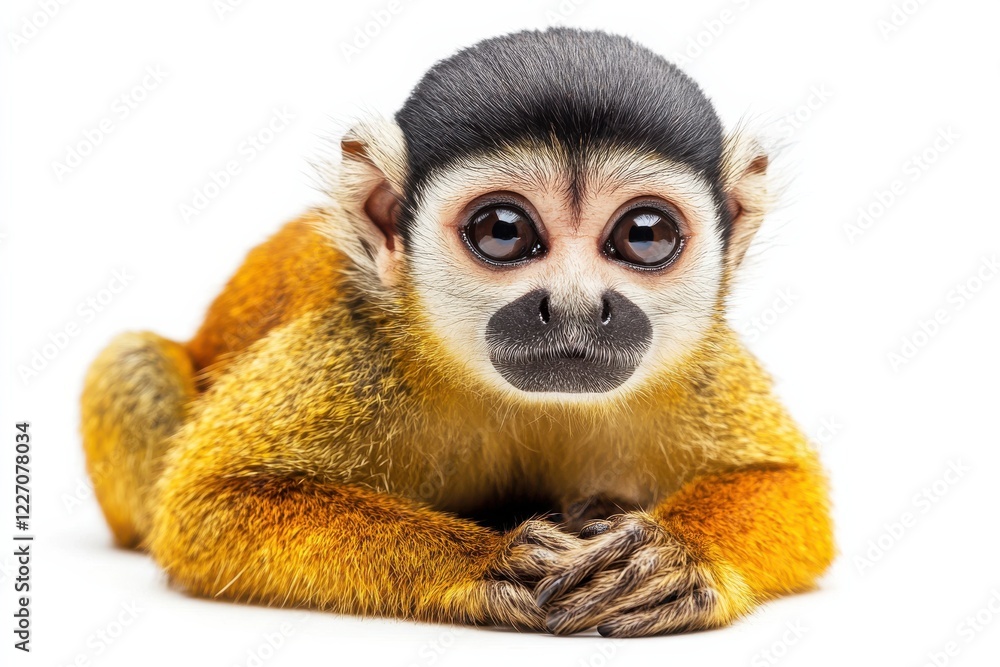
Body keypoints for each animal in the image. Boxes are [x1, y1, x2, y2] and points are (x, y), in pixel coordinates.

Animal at [80, 28, 834, 638]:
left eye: (644, 235)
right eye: (503, 231)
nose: (574, 307)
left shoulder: (696, 360)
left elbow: (789, 483)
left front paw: (675, 557)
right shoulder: (351, 349)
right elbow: (204, 504)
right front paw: (483, 561)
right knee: (132, 361)